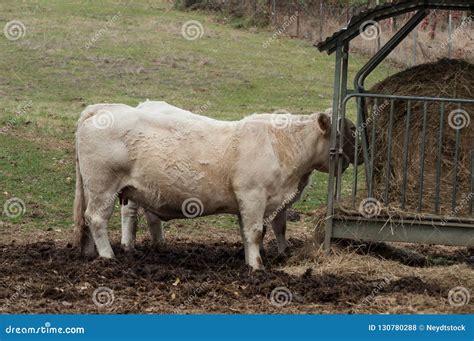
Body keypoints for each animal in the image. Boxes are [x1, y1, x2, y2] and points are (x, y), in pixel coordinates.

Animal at [73, 103, 360, 268]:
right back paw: (108, 257)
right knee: (97, 218)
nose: (359, 156)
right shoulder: (253, 195)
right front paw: (257, 268)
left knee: (89, 220)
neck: (281, 145)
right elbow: (255, 232)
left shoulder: (258, 202)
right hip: (103, 186)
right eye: (352, 129)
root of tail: (100, 109)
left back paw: (91, 252)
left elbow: (255, 232)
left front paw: (254, 260)